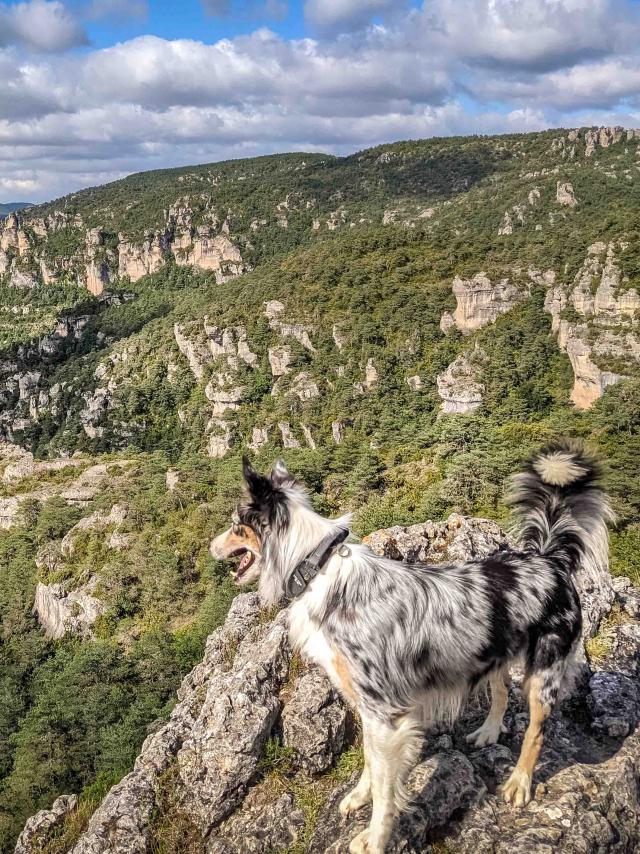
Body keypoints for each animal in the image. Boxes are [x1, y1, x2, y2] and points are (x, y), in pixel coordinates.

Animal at [209, 444, 608, 852]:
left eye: (237, 526)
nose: (210, 548)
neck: (315, 567)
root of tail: (549, 558)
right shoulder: (366, 706)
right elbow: (370, 761)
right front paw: (360, 795)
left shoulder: (386, 713)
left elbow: (387, 789)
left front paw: (375, 837)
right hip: (494, 650)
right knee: (500, 688)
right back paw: (489, 731)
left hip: (545, 669)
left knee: (536, 729)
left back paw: (519, 782)